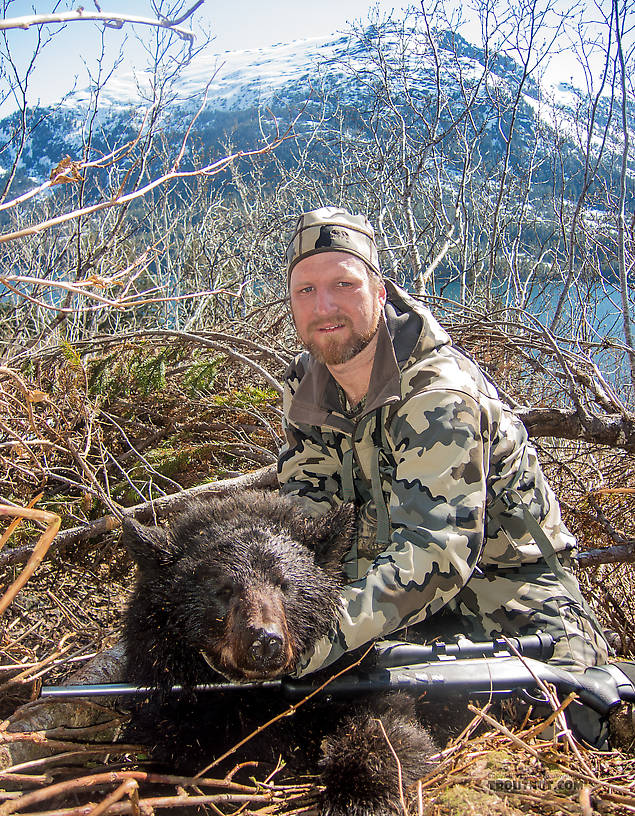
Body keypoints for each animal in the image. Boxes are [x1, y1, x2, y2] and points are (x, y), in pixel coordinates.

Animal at [120, 490, 438, 816]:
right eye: (223, 590)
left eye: (284, 584)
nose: (265, 642)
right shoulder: (175, 712)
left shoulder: (352, 677)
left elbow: (387, 724)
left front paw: (357, 795)